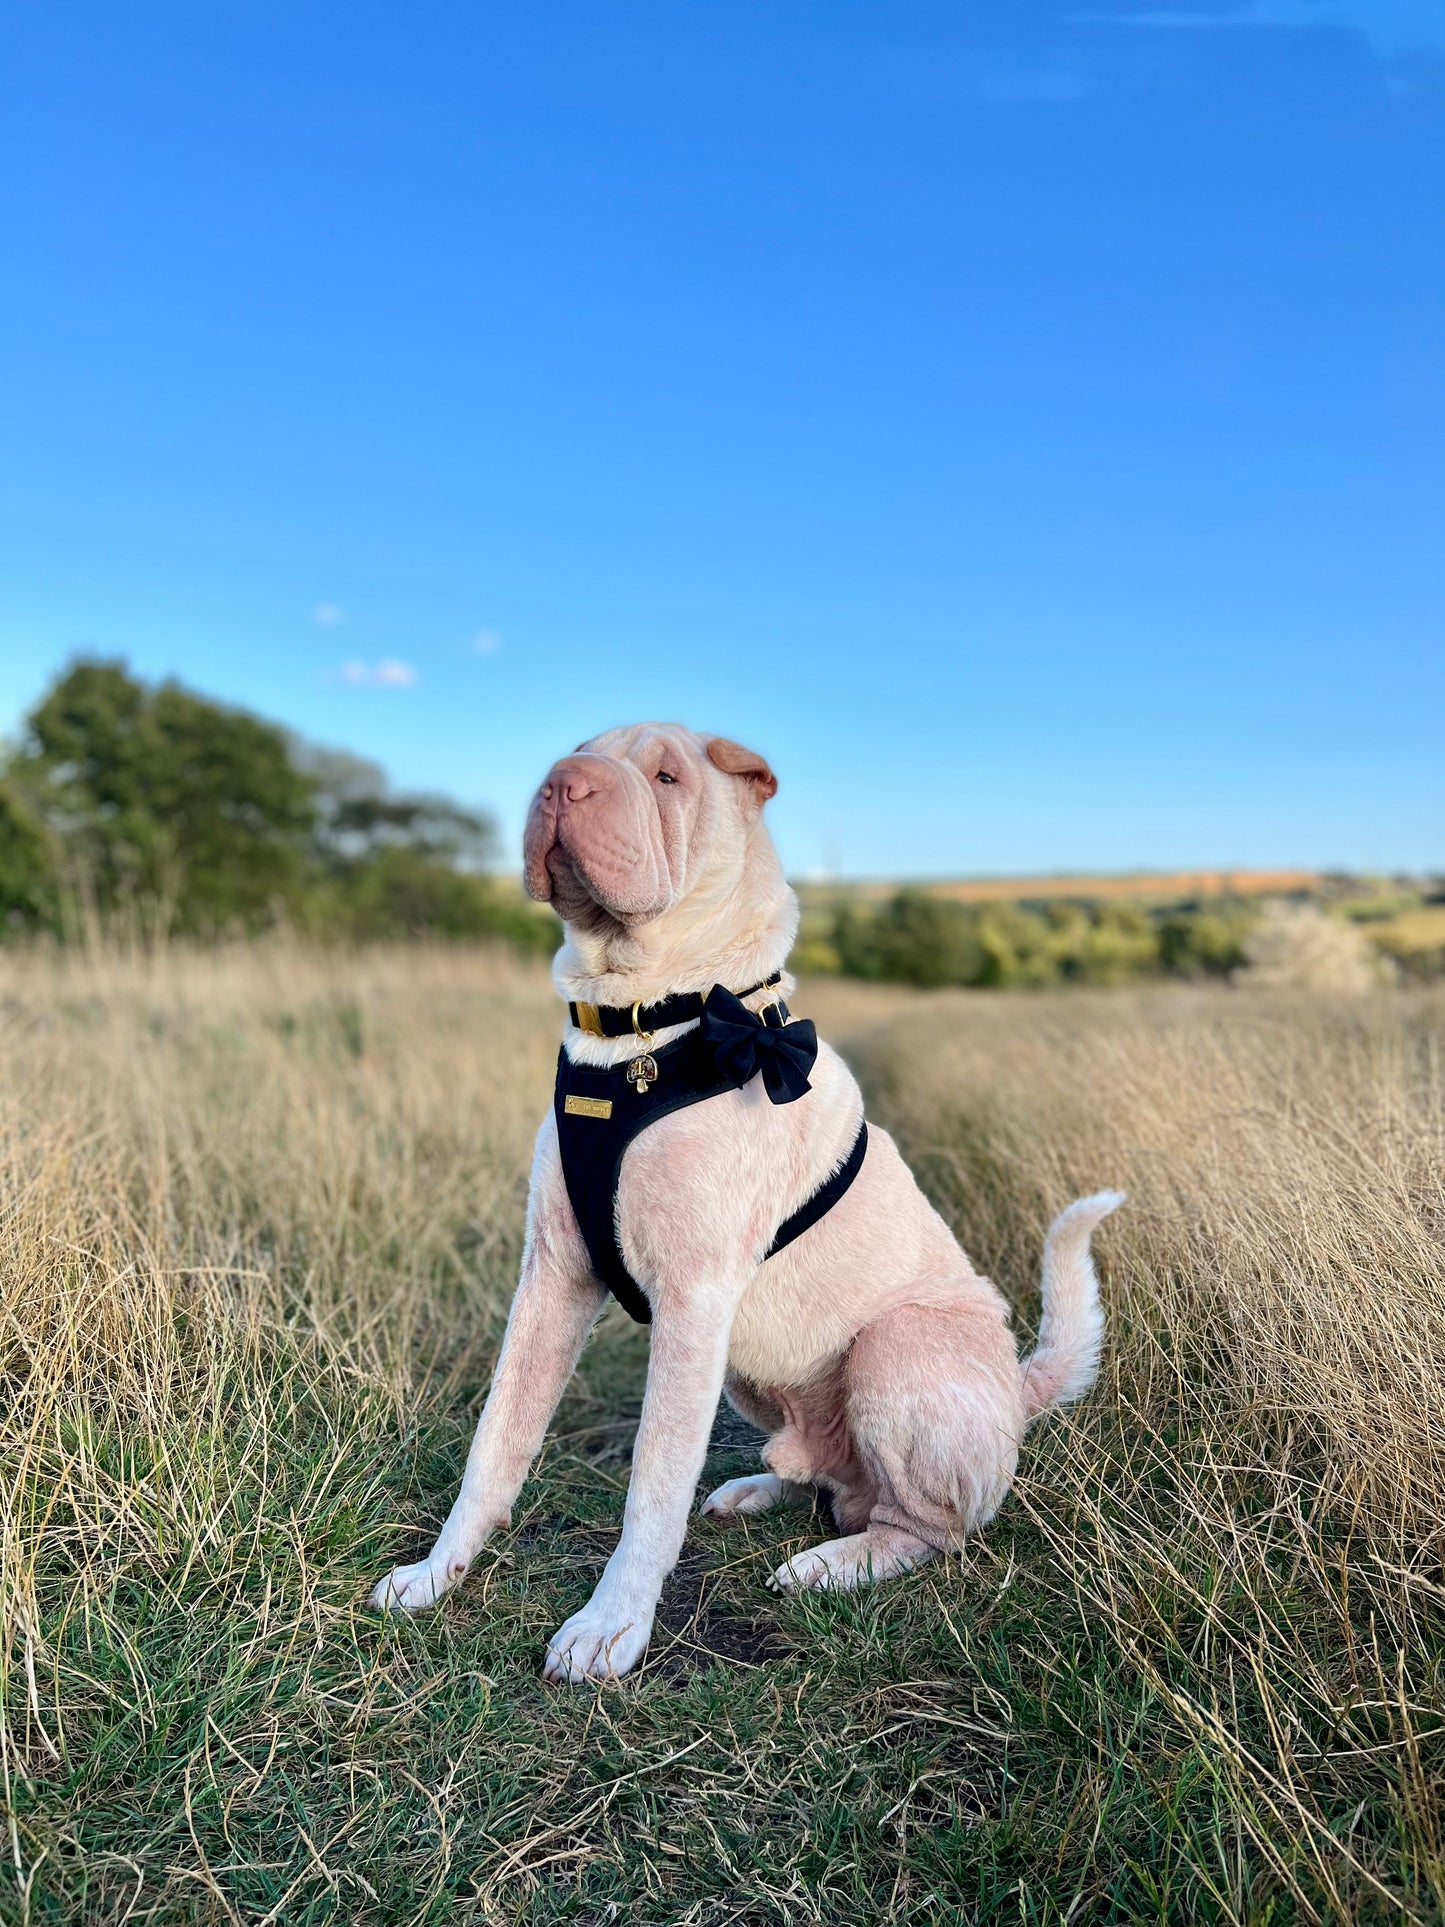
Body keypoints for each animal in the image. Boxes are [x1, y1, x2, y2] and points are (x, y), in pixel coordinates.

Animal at [367, 720, 1125, 1672]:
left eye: (665, 776)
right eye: (578, 748)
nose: (559, 783)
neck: (646, 1020)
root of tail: (1016, 1397)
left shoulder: (692, 1301)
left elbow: (652, 1480)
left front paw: (611, 1624)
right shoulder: (550, 1279)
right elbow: (495, 1441)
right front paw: (437, 1573)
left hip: (893, 1347)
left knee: (925, 1527)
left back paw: (834, 1564)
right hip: (752, 1381)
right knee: (830, 1478)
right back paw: (761, 1488)